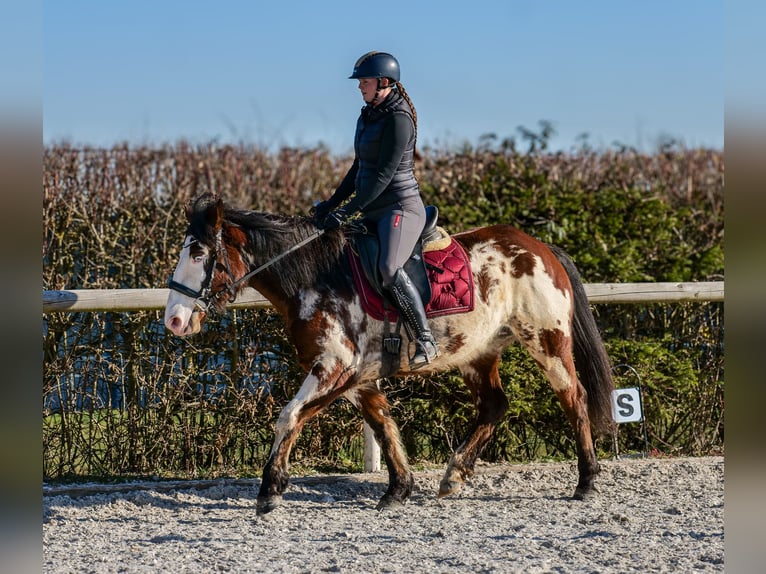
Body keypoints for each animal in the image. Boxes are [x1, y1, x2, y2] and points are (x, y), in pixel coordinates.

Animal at [164, 195, 616, 516]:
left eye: (199, 254)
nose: (175, 320)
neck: (315, 278)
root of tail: (540, 246)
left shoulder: (335, 369)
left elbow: (289, 416)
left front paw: (270, 489)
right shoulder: (357, 377)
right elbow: (382, 424)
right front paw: (399, 489)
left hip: (548, 341)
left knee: (574, 397)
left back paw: (587, 482)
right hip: (478, 351)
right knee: (493, 405)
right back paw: (454, 475)